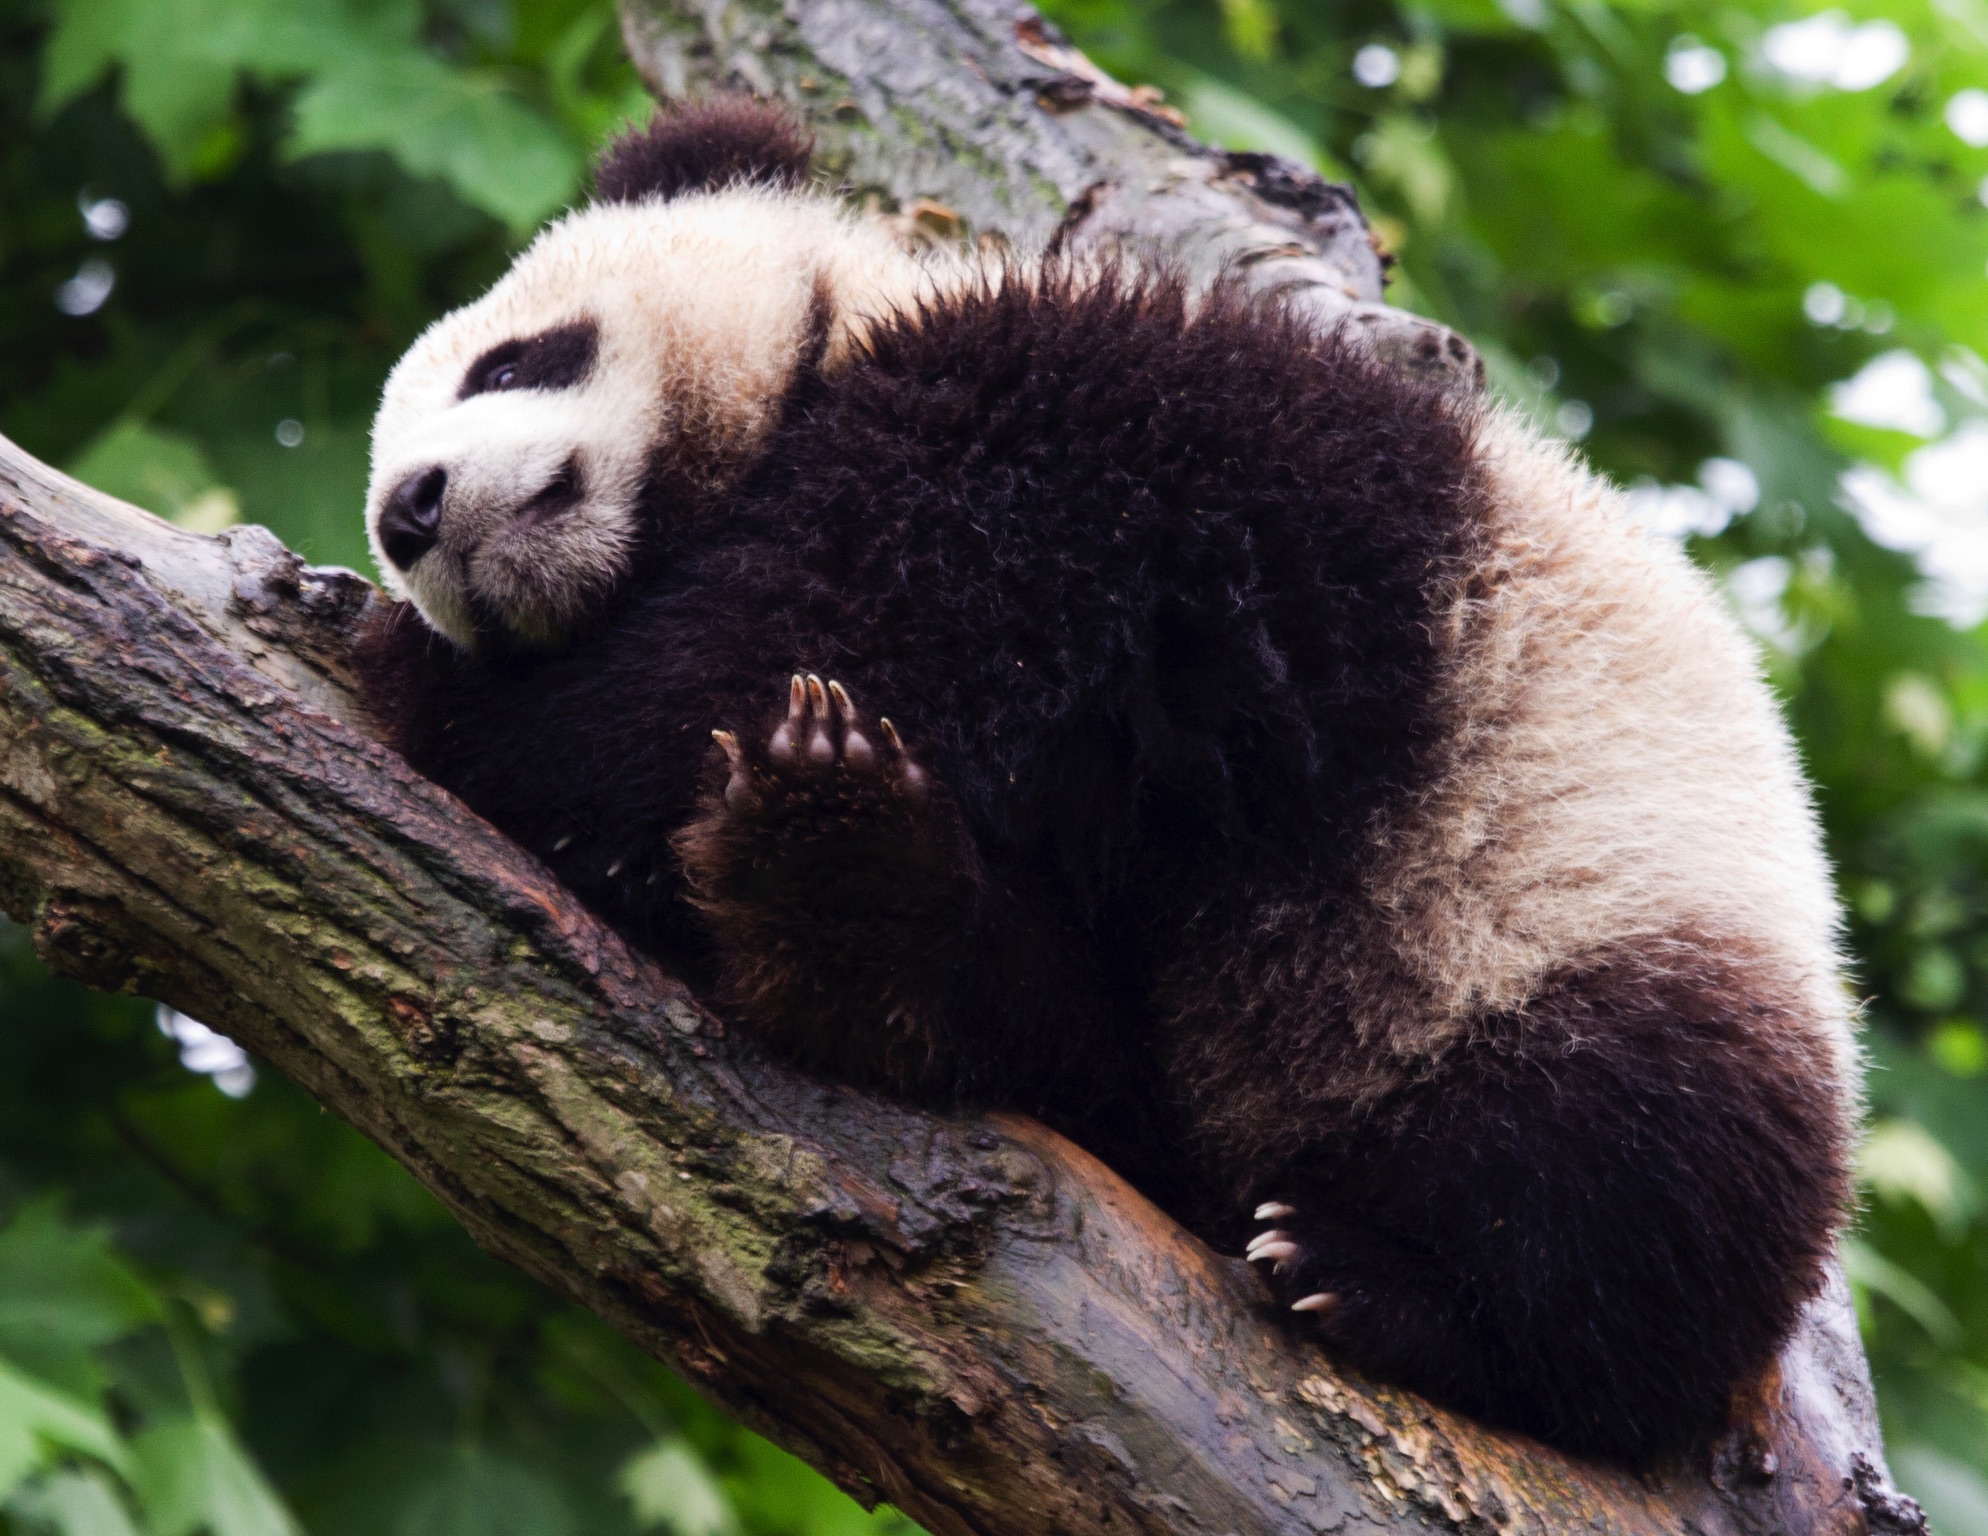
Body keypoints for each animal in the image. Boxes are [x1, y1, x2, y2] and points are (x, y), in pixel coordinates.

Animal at [353, 92, 1844, 1462]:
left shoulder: (1092, 421)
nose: (408, 515)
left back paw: (1382, 1282)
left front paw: (438, 688)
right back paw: (846, 885)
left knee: (1628, 1171)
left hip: (1564, 912)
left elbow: (812, 620)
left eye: (509, 362)